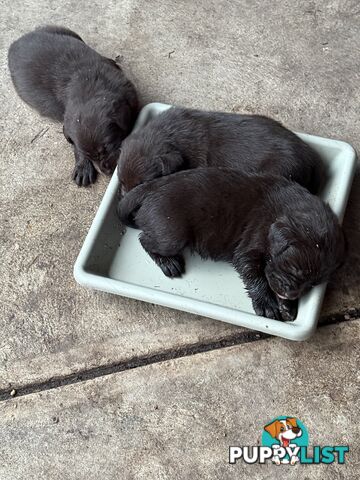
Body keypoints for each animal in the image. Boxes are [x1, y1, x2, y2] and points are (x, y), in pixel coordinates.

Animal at [8, 24, 139, 187]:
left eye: (108, 146)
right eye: (89, 155)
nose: (108, 172)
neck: (90, 82)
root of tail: (15, 42)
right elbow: (74, 145)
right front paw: (83, 168)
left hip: (67, 31)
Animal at [119, 167, 346, 320]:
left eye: (313, 284)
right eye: (293, 269)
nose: (290, 294)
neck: (282, 211)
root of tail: (152, 186)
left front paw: (287, 307)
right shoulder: (248, 250)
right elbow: (257, 279)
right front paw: (268, 305)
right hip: (172, 234)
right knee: (145, 240)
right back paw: (169, 263)